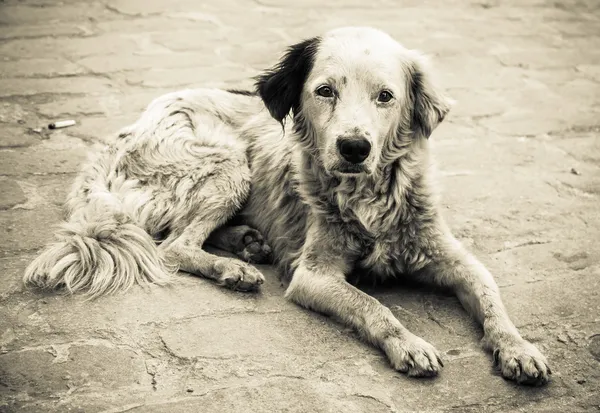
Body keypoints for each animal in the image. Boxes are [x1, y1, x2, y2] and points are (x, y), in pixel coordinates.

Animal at [24, 27, 548, 384]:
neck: (367, 199)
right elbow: (372, 304)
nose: (354, 147)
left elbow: (492, 299)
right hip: (229, 163)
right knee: (173, 245)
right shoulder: (313, 276)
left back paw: (247, 242)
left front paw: (519, 348)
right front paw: (410, 345)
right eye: (325, 91)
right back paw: (233, 268)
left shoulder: (454, 259)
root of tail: (121, 134)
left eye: (385, 96)